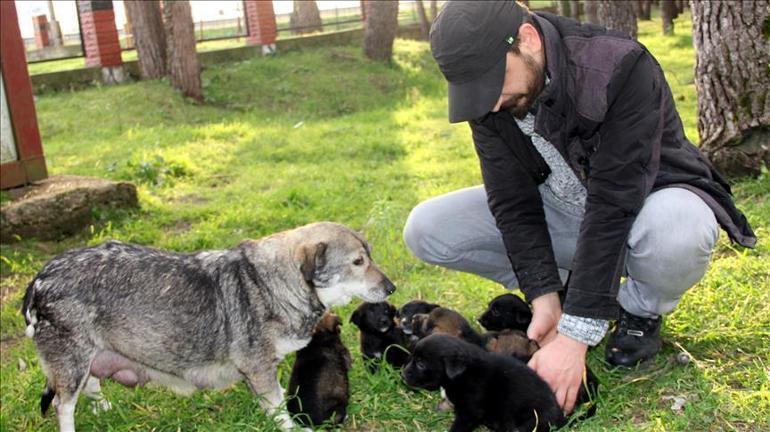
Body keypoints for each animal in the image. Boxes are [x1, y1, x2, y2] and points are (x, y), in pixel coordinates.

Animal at [22, 221, 396, 430]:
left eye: (370, 256)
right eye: (358, 262)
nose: (392, 288)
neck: (270, 283)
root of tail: (39, 279)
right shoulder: (259, 369)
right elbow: (278, 408)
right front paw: (291, 427)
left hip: (85, 360)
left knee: (90, 385)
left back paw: (103, 409)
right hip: (72, 363)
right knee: (63, 406)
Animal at [402, 334, 564, 432]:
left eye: (421, 364)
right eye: (412, 358)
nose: (402, 375)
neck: (463, 373)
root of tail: (561, 415)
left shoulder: (470, 411)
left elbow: (460, 425)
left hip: (532, 420)